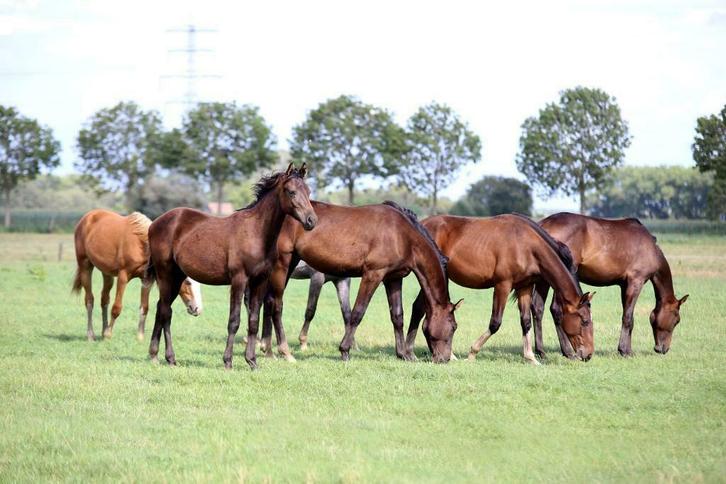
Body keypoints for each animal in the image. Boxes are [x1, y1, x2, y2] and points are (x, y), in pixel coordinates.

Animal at [72, 209, 202, 342]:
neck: (141, 244)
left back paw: (103, 331)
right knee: (89, 300)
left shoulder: (146, 280)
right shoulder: (123, 276)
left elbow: (144, 307)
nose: (197, 309)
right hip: (85, 266)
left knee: (104, 299)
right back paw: (91, 334)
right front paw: (109, 334)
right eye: (187, 282)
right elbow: (116, 308)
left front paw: (140, 336)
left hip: (106, 273)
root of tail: (88, 216)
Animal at [145, 164, 317, 369]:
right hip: (165, 274)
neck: (256, 233)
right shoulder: (238, 280)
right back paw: (164, 357)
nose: (311, 221)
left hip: (177, 276)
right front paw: (228, 361)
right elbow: (234, 320)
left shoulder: (259, 281)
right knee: (165, 312)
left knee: (161, 309)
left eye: (308, 191)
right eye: (291, 192)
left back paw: (159, 356)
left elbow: (253, 321)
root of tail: (154, 224)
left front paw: (252, 361)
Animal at [261, 200, 462, 363]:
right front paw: (344, 351)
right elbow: (357, 312)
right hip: (283, 264)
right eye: (453, 327)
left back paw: (268, 350)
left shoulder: (393, 278)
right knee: (274, 302)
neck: (402, 235)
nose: (444, 359)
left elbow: (397, 316)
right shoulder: (373, 275)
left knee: (269, 301)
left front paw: (403, 354)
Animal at [406, 214, 595, 363]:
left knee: (421, 309)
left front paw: (530, 357)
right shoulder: (503, 285)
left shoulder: (524, 287)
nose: (588, 355)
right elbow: (495, 322)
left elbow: (526, 321)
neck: (526, 245)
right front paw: (472, 353)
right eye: (585, 321)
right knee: (421, 309)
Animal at [531, 212, 688, 358]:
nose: (662, 349)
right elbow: (628, 318)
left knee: (538, 308)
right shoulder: (636, 282)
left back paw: (541, 352)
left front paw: (626, 349)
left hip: (545, 276)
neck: (650, 249)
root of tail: (544, 224)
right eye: (677, 321)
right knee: (556, 310)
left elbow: (628, 316)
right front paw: (625, 351)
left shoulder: (624, 285)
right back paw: (568, 352)